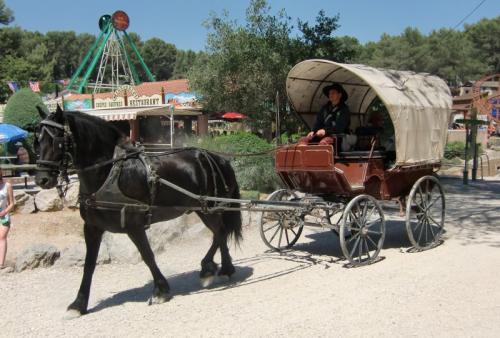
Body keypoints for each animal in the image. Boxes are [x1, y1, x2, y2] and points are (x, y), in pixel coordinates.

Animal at [34, 107, 242, 318]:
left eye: (57, 140)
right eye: (38, 140)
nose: (41, 179)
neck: (109, 172)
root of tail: (219, 159)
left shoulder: (134, 225)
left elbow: (147, 256)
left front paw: (160, 290)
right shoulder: (92, 228)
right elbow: (89, 265)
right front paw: (79, 304)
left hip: (210, 209)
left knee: (220, 232)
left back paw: (208, 268)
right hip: (203, 209)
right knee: (220, 234)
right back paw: (225, 269)